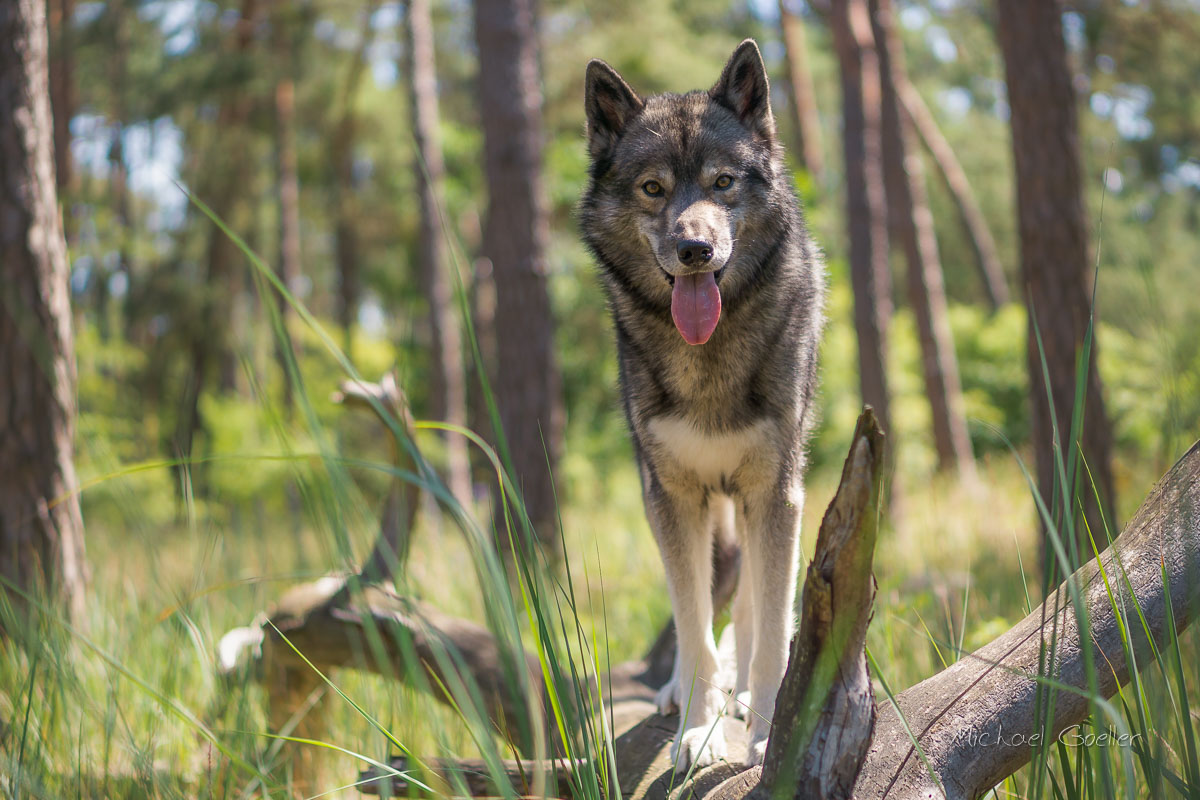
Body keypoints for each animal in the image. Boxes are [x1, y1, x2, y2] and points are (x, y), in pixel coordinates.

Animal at [579, 40, 825, 771]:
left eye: (721, 183)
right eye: (653, 188)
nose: (696, 250)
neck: (708, 355)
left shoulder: (776, 493)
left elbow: (769, 629)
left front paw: (768, 729)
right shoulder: (672, 497)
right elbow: (691, 629)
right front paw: (698, 726)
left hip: (750, 510)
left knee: (748, 615)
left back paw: (743, 697)